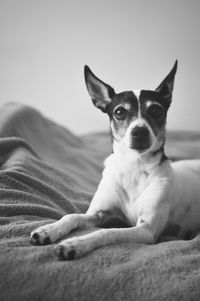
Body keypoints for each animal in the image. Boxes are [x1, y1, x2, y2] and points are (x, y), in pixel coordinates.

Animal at [29, 59, 200, 258]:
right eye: (119, 112)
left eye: (156, 110)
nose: (139, 132)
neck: (134, 166)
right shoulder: (99, 213)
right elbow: (72, 215)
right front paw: (49, 229)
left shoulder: (146, 229)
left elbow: (107, 232)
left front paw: (74, 244)